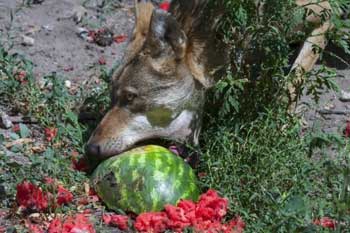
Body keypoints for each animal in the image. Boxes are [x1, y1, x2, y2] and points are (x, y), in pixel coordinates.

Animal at [86, 0, 344, 163]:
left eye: (130, 97)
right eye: (112, 98)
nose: (89, 148)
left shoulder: (325, 14)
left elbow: (291, 82)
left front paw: (279, 127)